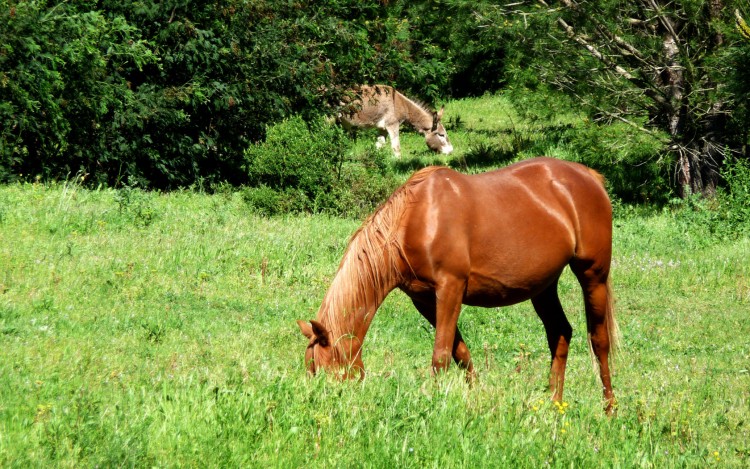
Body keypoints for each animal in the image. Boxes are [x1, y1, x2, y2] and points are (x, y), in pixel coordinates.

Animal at [300, 156, 624, 410]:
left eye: (329, 370)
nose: (327, 406)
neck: (415, 219)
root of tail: (590, 177)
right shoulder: (425, 300)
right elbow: (461, 352)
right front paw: (475, 397)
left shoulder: (450, 288)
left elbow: (441, 355)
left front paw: (436, 405)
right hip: (544, 287)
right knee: (560, 333)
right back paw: (554, 405)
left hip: (593, 275)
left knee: (599, 340)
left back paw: (609, 408)